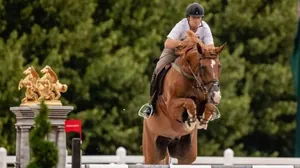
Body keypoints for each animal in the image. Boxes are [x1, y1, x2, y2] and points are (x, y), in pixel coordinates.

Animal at [142, 30, 225, 164]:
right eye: (203, 67)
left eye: (219, 66)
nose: (216, 96)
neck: (191, 78)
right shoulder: (171, 105)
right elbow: (189, 102)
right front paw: (191, 120)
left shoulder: (205, 99)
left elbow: (209, 106)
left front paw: (202, 121)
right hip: (152, 152)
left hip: (186, 154)